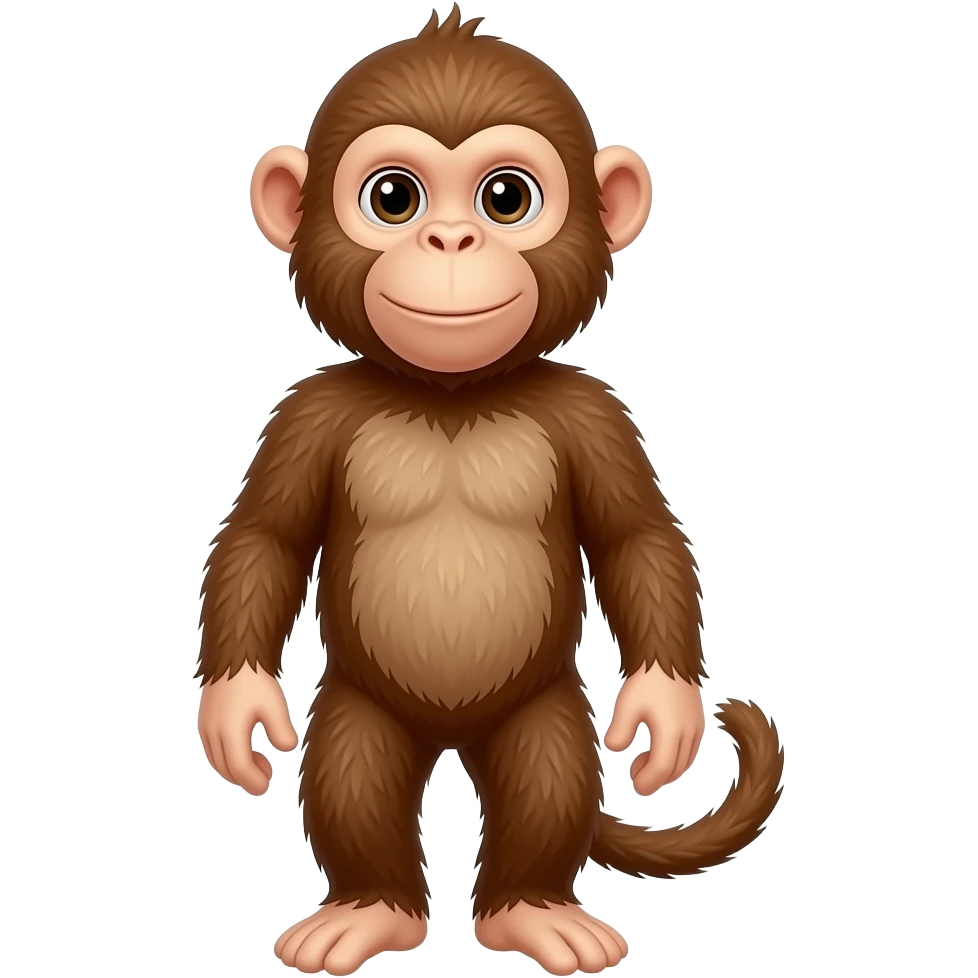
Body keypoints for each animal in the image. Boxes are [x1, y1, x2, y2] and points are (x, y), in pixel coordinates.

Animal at [195, 6, 784, 977]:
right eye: (393, 199)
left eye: (506, 198)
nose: (450, 241)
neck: (452, 394)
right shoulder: (306, 414)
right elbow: (264, 539)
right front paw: (236, 706)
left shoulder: (594, 414)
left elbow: (637, 538)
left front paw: (664, 710)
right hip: (360, 706)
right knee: (353, 773)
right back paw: (369, 909)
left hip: (542, 707)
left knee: (547, 777)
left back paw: (533, 911)